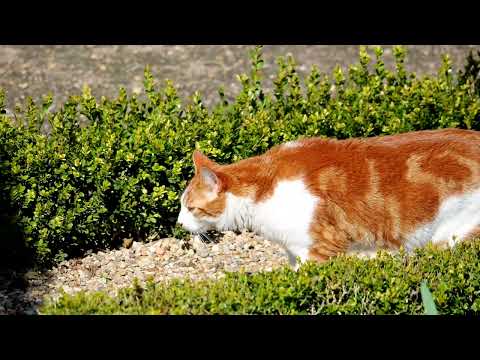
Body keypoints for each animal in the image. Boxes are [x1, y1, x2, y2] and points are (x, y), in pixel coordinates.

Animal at [177, 129, 480, 268]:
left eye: (191, 208)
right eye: (181, 206)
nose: (179, 224)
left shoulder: (318, 251)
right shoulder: (295, 252)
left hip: (451, 237)